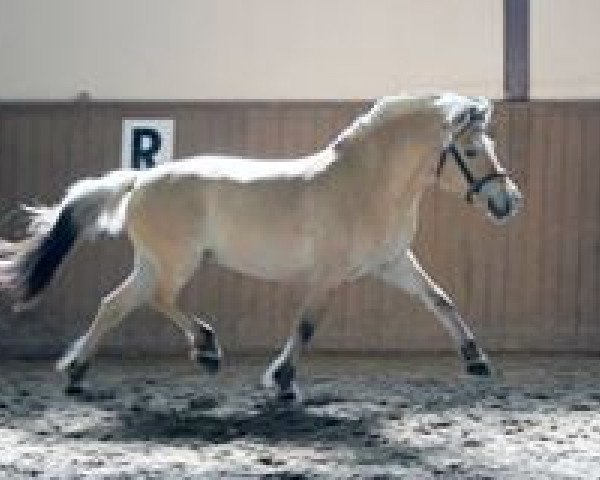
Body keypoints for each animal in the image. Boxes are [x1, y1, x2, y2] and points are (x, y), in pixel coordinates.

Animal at [0, 94, 520, 402]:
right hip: (175, 262)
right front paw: (283, 381)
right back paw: (206, 349)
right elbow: (306, 326)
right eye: (471, 151)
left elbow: (440, 299)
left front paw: (476, 360)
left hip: (152, 262)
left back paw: (77, 372)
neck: (367, 185)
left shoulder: (392, 263)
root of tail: (140, 178)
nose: (508, 202)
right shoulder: (328, 276)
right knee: (159, 300)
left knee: (114, 304)